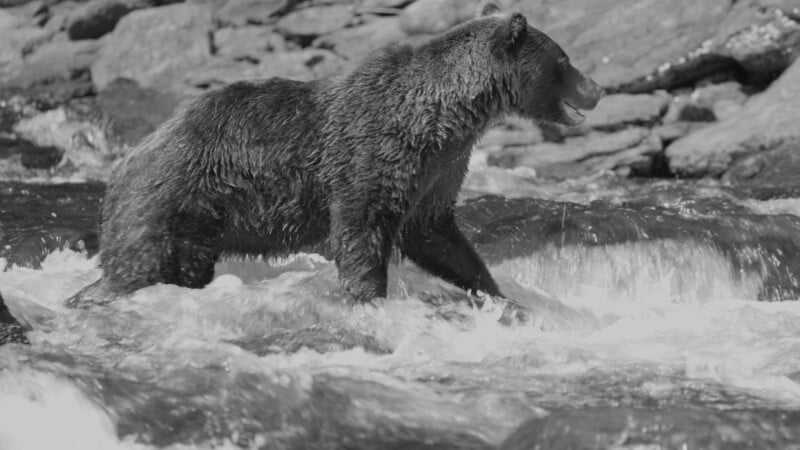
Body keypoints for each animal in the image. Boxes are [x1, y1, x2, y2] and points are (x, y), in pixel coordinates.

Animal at [66, 2, 602, 307]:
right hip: (174, 196)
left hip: (194, 225)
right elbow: (360, 230)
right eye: (565, 60)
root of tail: (124, 162)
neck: (445, 114)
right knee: (141, 264)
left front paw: (493, 290)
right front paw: (369, 300)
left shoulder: (440, 167)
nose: (597, 88)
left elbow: (436, 234)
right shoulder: (373, 152)